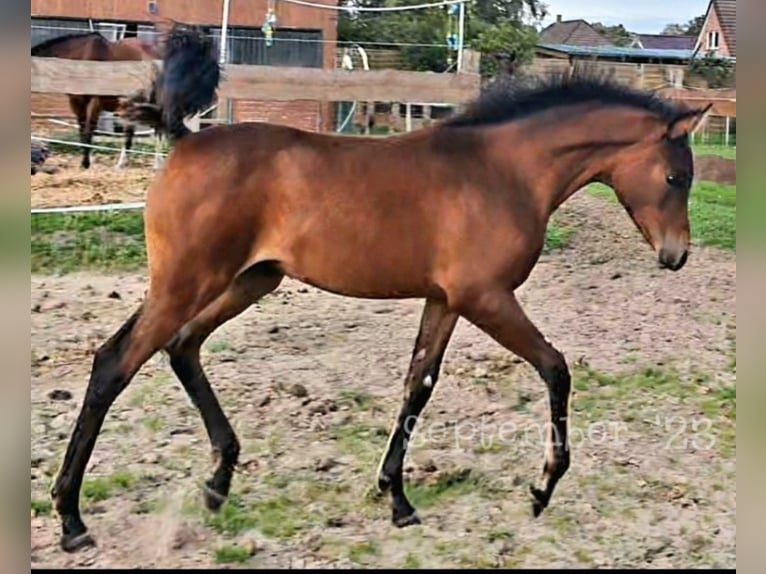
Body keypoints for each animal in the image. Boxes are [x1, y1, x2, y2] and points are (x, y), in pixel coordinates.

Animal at [31, 31, 162, 170]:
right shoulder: (77, 102)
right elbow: (82, 129)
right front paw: (86, 160)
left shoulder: (94, 102)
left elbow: (89, 130)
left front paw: (86, 163)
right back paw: (124, 164)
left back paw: (155, 164)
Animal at [49, 25, 712, 552]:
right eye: (676, 177)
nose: (676, 255)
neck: (503, 172)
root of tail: (187, 138)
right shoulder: (486, 297)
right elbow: (555, 368)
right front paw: (542, 487)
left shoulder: (445, 300)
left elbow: (418, 385)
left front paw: (397, 498)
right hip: (187, 280)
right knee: (114, 363)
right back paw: (71, 518)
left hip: (249, 280)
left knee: (182, 346)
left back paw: (217, 484)